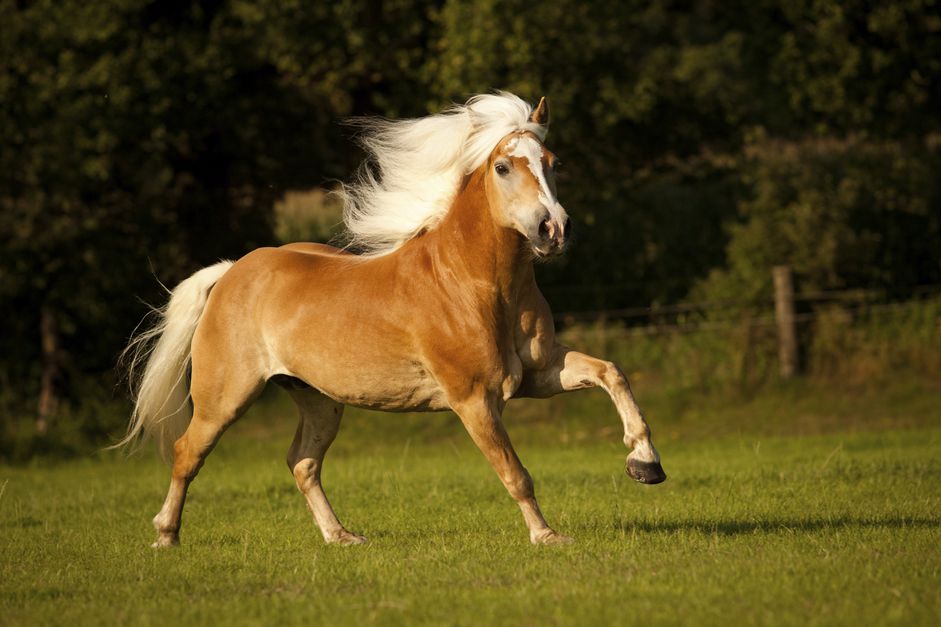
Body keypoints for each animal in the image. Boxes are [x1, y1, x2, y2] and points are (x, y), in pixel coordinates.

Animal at [121, 91, 664, 548]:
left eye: (554, 164)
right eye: (504, 166)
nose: (554, 229)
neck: (473, 284)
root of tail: (232, 272)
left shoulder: (539, 373)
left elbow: (611, 372)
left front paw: (645, 465)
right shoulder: (474, 400)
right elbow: (515, 473)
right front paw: (548, 537)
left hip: (318, 399)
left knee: (303, 463)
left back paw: (342, 537)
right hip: (226, 396)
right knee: (188, 452)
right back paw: (165, 536)